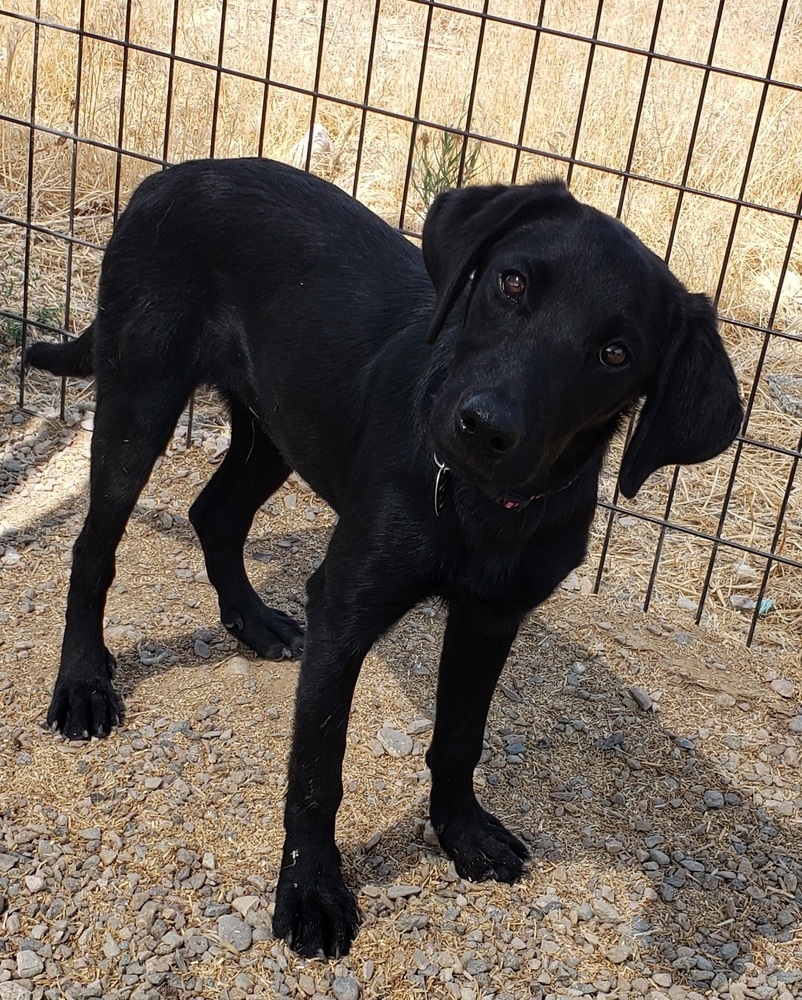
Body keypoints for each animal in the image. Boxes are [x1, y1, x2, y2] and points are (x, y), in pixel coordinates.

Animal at [26, 160, 736, 956]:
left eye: (617, 354)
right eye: (512, 283)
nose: (483, 426)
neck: (479, 504)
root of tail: (169, 175)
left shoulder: (491, 619)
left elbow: (460, 736)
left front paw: (461, 831)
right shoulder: (346, 609)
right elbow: (316, 771)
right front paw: (310, 890)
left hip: (278, 419)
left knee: (215, 514)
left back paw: (253, 622)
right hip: (140, 399)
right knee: (94, 547)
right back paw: (83, 683)